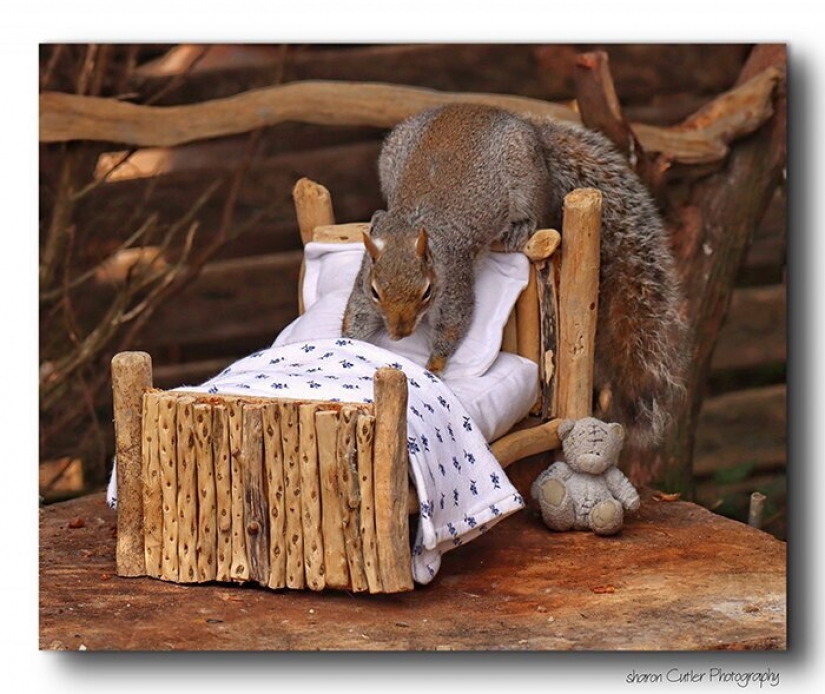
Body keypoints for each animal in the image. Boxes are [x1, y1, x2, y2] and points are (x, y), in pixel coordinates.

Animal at [342, 103, 688, 450]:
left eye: (427, 291)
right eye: (375, 291)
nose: (399, 334)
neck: (409, 230)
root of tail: (523, 125)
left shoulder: (455, 282)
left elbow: (454, 323)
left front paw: (435, 367)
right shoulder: (363, 280)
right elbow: (356, 315)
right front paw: (347, 343)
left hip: (527, 180)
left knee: (535, 210)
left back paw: (521, 227)